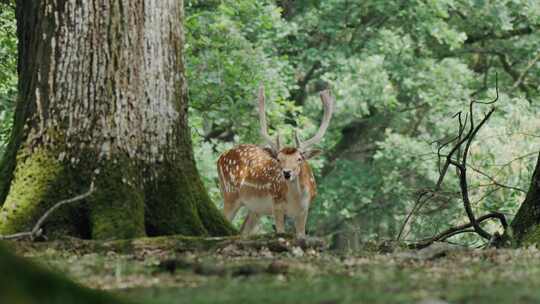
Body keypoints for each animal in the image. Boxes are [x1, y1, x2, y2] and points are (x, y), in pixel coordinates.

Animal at [215, 85, 334, 238]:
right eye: (278, 159)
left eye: (299, 159)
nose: (287, 173)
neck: (296, 201)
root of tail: (220, 157)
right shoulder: (276, 204)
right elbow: (280, 232)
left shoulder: (305, 211)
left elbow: (302, 235)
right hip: (229, 194)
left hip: (255, 209)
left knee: (243, 232)